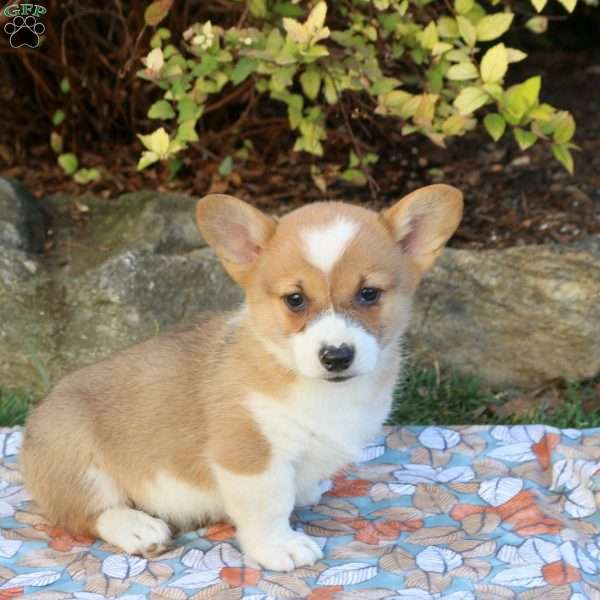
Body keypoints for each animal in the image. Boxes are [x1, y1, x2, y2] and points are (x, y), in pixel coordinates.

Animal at [21, 184, 462, 572]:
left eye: (369, 294)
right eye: (295, 299)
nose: (336, 356)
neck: (317, 390)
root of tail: (32, 426)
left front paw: (309, 491)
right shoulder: (250, 457)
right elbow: (270, 507)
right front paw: (280, 547)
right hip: (76, 457)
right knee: (83, 512)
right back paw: (137, 527)